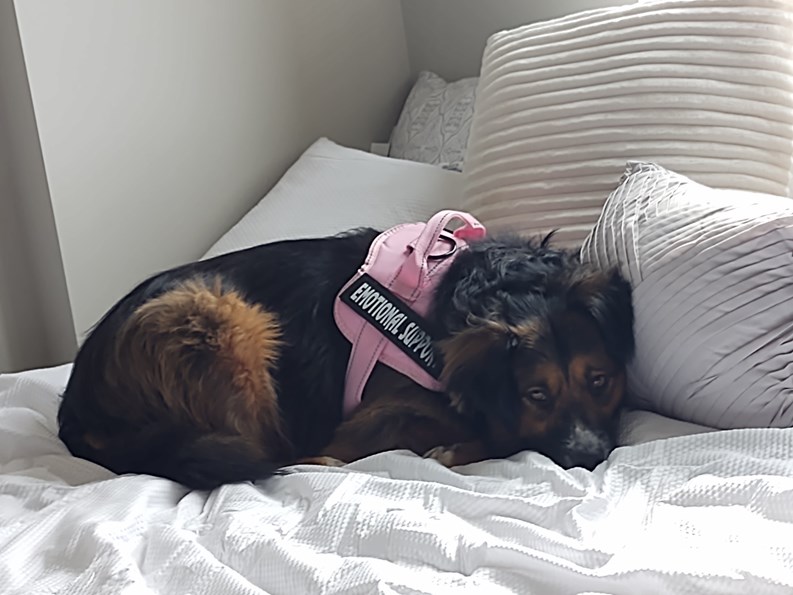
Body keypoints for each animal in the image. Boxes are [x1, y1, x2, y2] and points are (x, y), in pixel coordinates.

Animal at [57, 217, 632, 492]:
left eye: (599, 381)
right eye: (536, 394)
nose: (588, 456)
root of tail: (78, 404)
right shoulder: (374, 416)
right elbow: (492, 432)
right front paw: (462, 445)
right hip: (218, 314)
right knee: (272, 452)